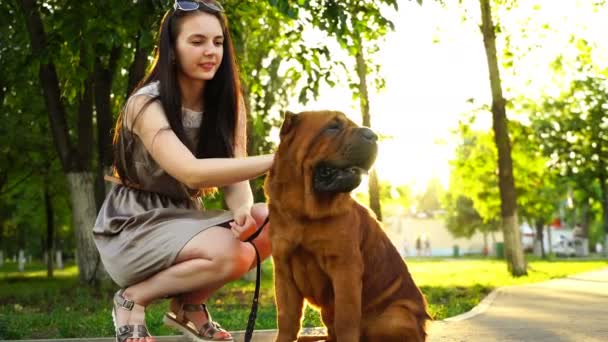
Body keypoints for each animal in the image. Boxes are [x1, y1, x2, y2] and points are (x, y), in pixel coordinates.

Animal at [264, 110, 430, 342]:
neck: (304, 215)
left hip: (394, 317)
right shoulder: (283, 270)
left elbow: (346, 318)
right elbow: (287, 318)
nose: (372, 134)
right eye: (332, 127)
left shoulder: (345, 268)